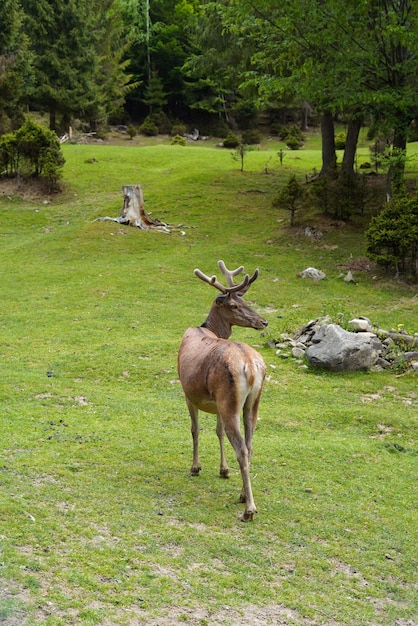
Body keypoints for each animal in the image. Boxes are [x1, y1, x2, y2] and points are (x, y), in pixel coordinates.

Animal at [176, 260, 268, 520]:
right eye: (236, 304)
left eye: (244, 301)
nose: (263, 322)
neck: (206, 328)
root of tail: (251, 366)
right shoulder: (215, 402)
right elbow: (217, 432)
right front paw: (224, 470)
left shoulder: (188, 393)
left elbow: (195, 429)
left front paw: (195, 467)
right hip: (251, 403)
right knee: (250, 445)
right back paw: (243, 495)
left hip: (230, 400)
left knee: (242, 448)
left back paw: (249, 509)